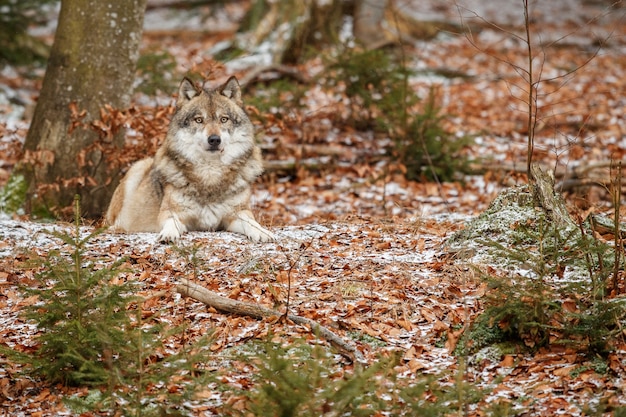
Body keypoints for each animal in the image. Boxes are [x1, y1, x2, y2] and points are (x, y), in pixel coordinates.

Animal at [105, 76, 272, 242]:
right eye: (199, 120)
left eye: (224, 119)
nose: (214, 140)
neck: (210, 174)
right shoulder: (171, 212)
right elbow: (171, 222)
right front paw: (168, 234)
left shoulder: (237, 213)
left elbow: (251, 222)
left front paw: (262, 232)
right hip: (138, 167)